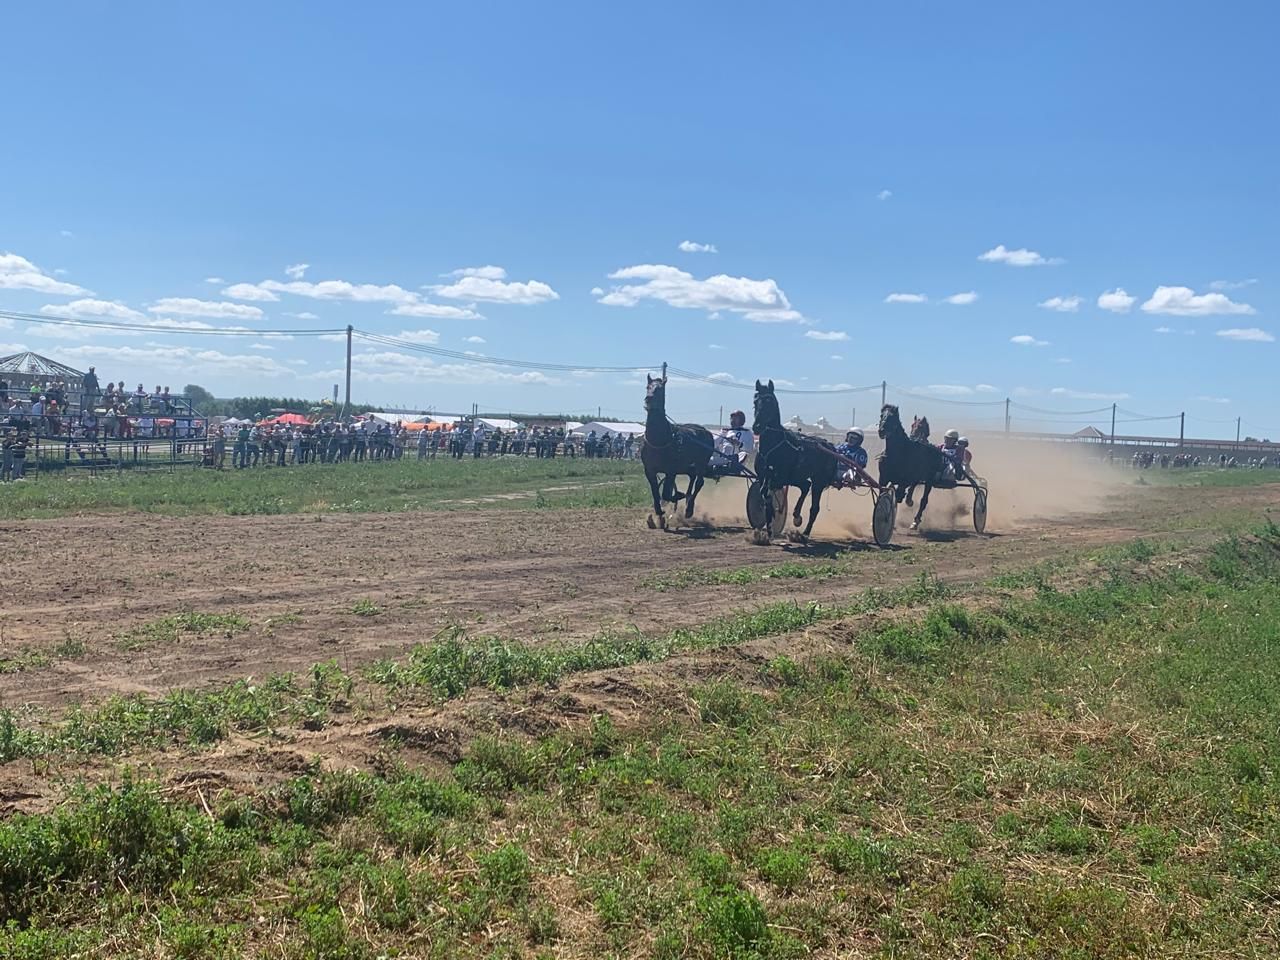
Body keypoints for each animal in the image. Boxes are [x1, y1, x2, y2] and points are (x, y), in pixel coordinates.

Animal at [640, 376, 721, 529]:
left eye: (660, 389)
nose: (648, 399)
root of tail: (705, 431)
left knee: (699, 482)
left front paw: (677, 495)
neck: (659, 440)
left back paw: (689, 509)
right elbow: (655, 492)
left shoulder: (671, 470)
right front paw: (659, 512)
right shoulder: (649, 470)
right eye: (648, 387)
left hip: (701, 462)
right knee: (692, 477)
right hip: (689, 465)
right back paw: (687, 499)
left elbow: (666, 494)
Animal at [747, 378, 839, 542]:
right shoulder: (764, 477)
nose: (757, 427)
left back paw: (804, 532)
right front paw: (769, 530)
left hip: (819, 481)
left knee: (814, 507)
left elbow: (770, 495)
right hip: (799, 477)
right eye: (755, 401)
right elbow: (765, 495)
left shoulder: (780, 479)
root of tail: (828, 445)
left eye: (770, 401)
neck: (773, 447)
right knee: (805, 486)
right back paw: (796, 516)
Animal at [875, 401, 947, 529]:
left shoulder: (905, 480)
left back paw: (915, 520)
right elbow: (885, 493)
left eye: (893, 417)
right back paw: (909, 500)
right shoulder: (883, 478)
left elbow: (899, 493)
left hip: (929, 480)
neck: (896, 453)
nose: (881, 431)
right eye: (881, 415)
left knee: (924, 500)